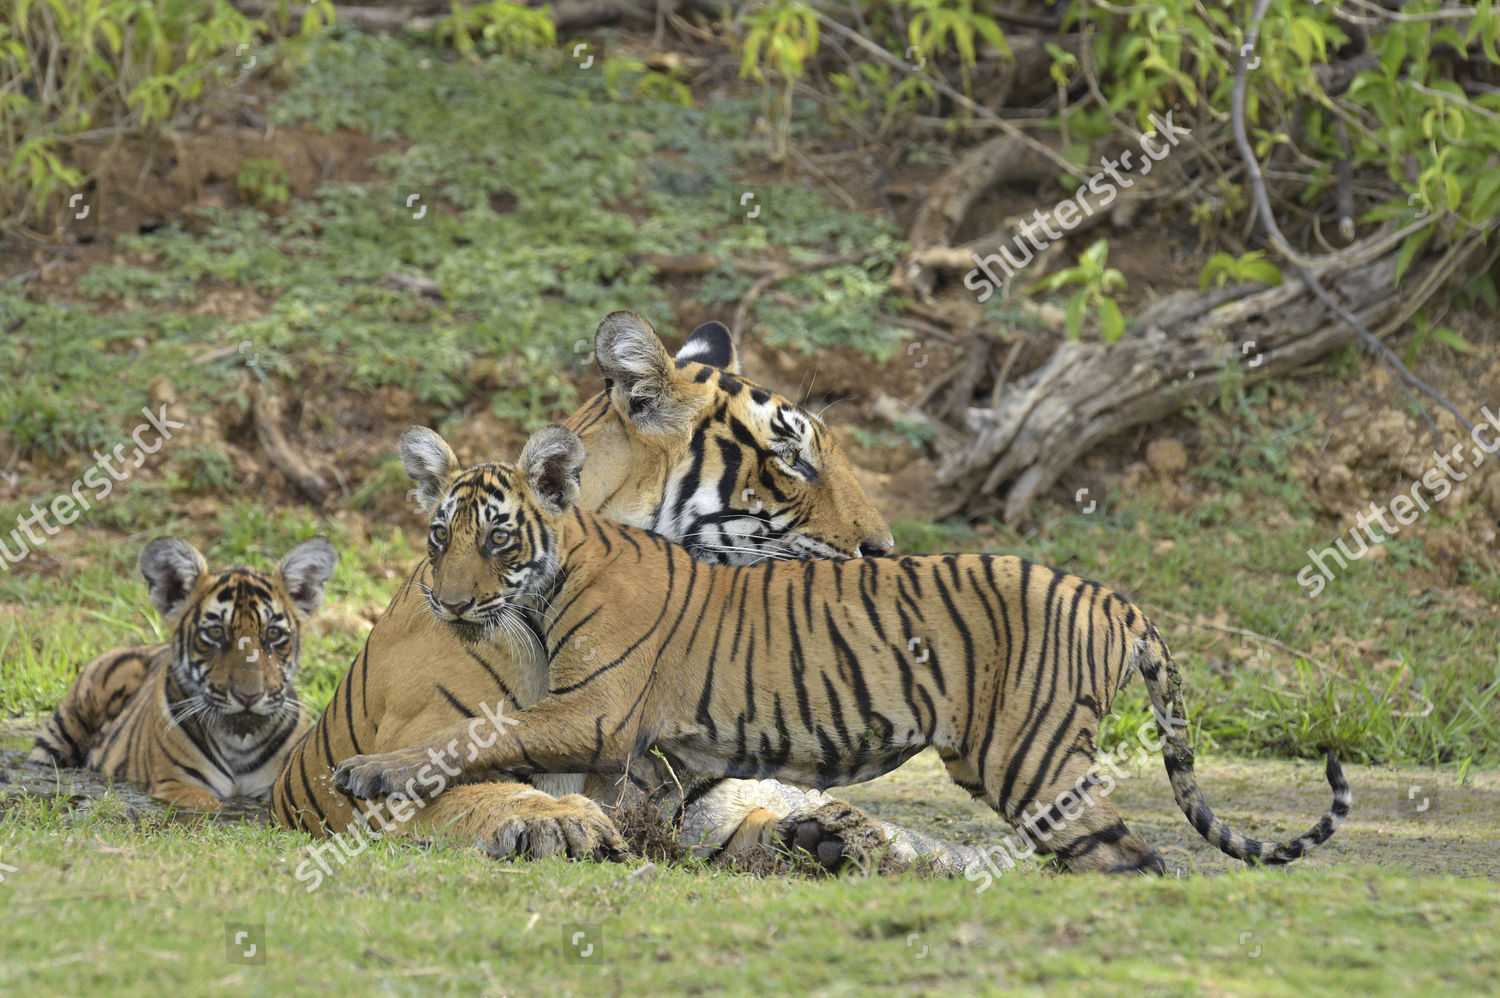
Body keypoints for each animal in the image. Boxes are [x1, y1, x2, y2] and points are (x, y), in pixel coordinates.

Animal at [33, 537, 340, 810]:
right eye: (215, 632)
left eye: (274, 634)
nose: (249, 697)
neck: (239, 741)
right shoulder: (177, 783)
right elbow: (209, 805)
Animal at [274, 312, 978, 870]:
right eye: (791, 458)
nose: (885, 549)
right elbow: (464, 788)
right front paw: (554, 818)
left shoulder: (698, 791)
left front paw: (830, 837)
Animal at [337, 423, 1350, 876]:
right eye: (440, 536)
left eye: (498, 539)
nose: (446, 599)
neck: (554, 578)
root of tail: (1109, 594)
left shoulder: (593, 710)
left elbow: (475, 737)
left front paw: (370, 772)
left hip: (1029, 757)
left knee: (1130, 860)